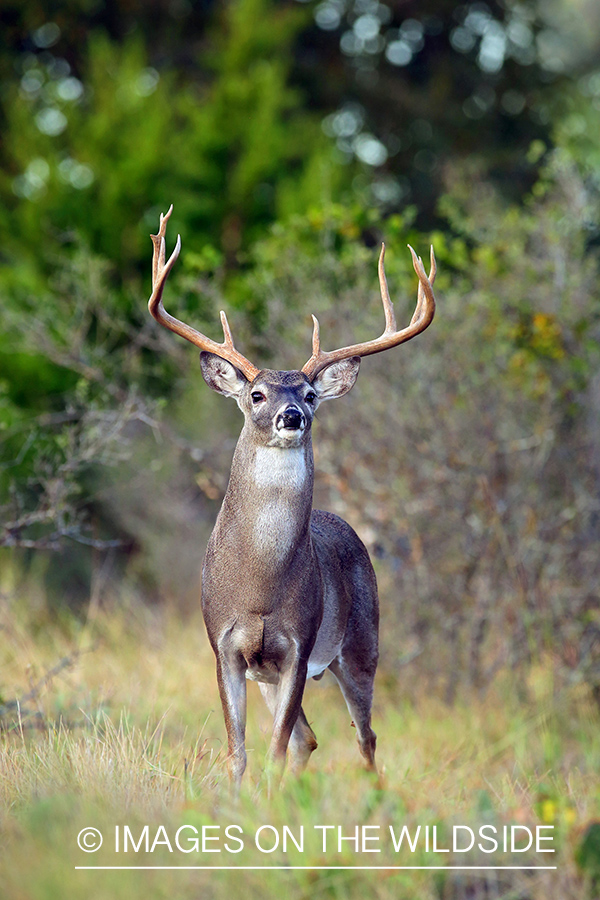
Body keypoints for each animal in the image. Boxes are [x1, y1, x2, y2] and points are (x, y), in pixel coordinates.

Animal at [147, 206, 434, 788]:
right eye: (257, 394)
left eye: (310, 393)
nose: (292, 415)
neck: (260, 586)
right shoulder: (226, 647)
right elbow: (240, 749)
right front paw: (241, 800)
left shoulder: (299, 648)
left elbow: (275, 747)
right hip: (272, 672)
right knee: (311, 738)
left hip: (362, 643)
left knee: (364, 737)